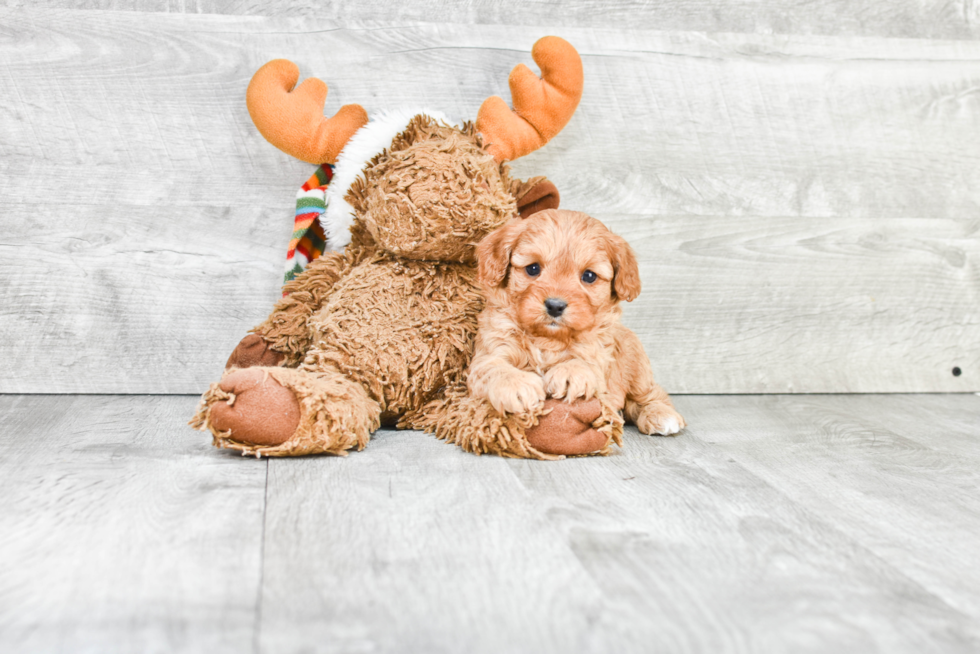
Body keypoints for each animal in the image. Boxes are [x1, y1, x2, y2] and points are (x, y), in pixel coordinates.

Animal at [468, 209, 684, 436]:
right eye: (533, 268)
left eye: (589, 276)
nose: (555, 306)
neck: (548, 338)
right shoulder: (492, 348)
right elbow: (493, 367)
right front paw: (517, 385)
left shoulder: (599, 351)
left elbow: (586, 361)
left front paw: (570, 372)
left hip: (637, 365)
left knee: (650, 394)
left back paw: (661, 414)